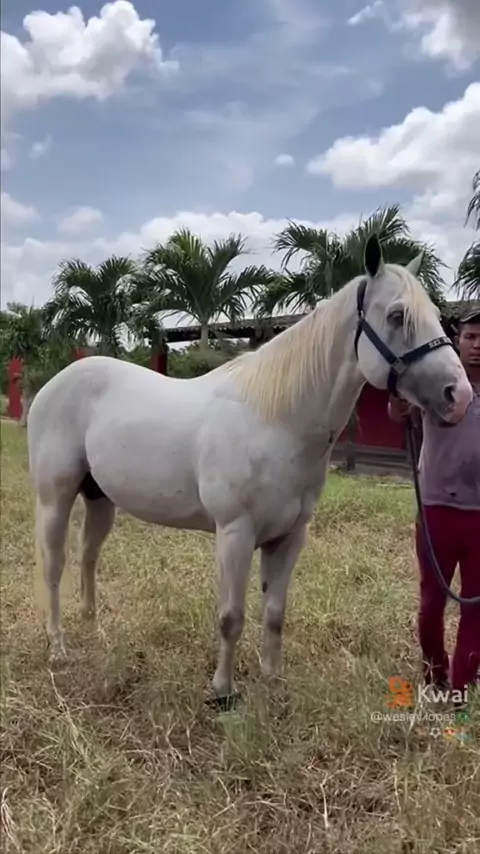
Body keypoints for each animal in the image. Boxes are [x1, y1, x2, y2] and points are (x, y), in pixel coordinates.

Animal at [27, 235, 472, 699]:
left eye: (437, 316)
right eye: (398, 315)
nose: (458, 396)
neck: (275, 420)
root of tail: (53, 385)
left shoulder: (289, 537)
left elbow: (274, 613)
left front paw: (272, 682)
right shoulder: (235, 534)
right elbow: (231, 616)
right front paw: (223, 691)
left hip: (100, 499)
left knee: (88, 557)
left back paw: (93, 631)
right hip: (55, 498)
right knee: (54, 565)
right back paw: (58, 648)